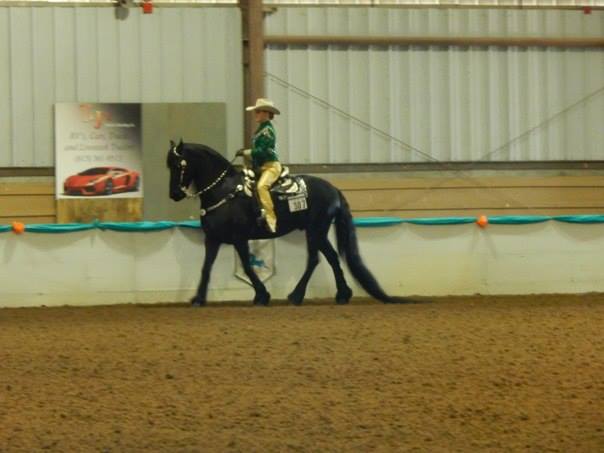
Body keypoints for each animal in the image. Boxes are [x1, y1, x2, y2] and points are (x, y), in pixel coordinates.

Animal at [168, 139, 408, 306]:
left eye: (179, 165)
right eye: (168, 165)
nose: (174, 195)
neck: (224, 191)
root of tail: (333, 189)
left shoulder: (239, 238)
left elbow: (246, 266)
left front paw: (262, 295)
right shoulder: (212, 239)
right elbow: (206, 267)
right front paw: (198, 299)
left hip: (315, 230)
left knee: (314, 260)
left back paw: (296, 295)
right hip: (318, 232)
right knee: (331, 257)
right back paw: (342, 294)